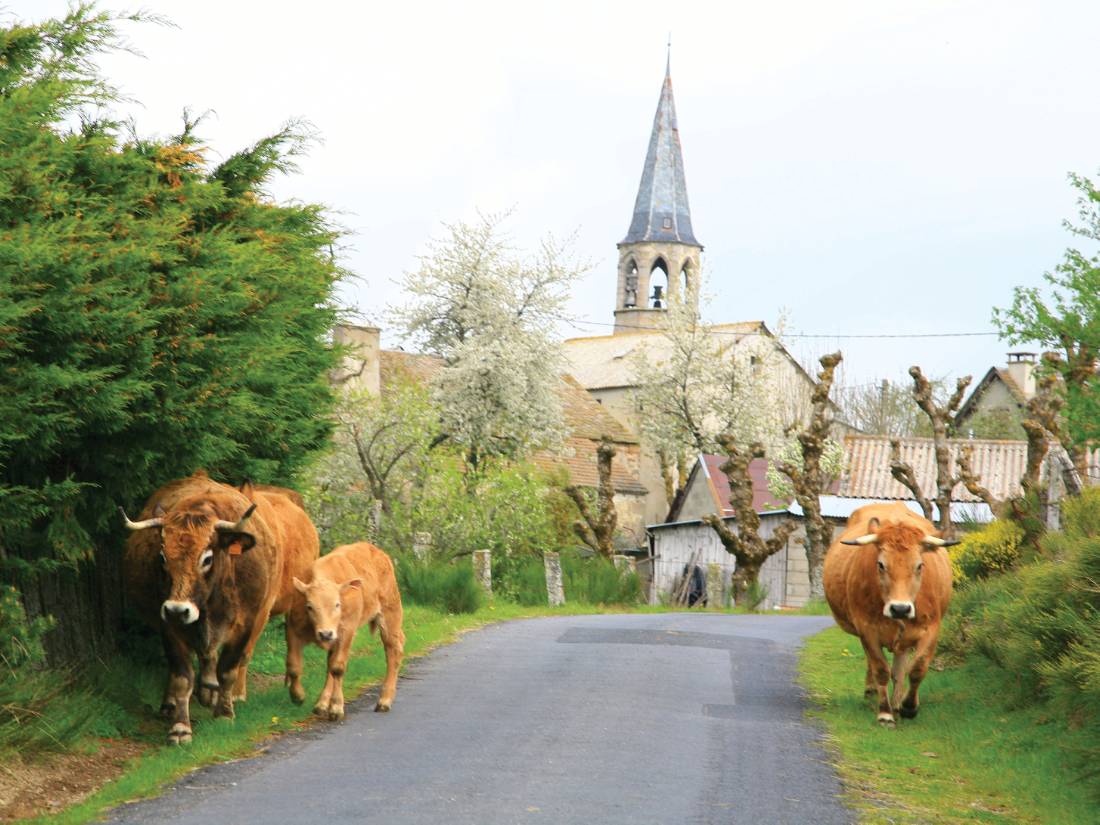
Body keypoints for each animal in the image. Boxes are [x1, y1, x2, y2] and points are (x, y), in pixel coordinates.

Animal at [122, 468, 319, 748]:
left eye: (207, 558)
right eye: (162, 557)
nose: (177, 609)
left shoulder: (248, 623)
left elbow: (229, 668)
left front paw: (225, 713)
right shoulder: (169, 627)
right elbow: (182, 676)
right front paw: (180, 728)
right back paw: (177, 702)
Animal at [286, 539, 407, 721]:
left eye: (337, 605)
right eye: (309, 606)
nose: (325, 633)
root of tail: (378, 552)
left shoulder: (346, 633)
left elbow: (338, 668)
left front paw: (336, 707)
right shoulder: (293, 630)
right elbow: (294, 666)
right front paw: (297, 696)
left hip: (390, 614)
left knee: (393, 651)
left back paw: (384, 701)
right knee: (329, 663)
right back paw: (321, 704)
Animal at [827, 501, 954, 726]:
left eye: (919, 565)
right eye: (881, 564)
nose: (900, 608)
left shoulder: (931, 629)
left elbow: (917, 668)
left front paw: (908, 707)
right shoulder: (867, 629)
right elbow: (880, 669)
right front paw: (885, 713)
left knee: (899, 671)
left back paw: (897, 702)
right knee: (877, 666)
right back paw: (875, 694)